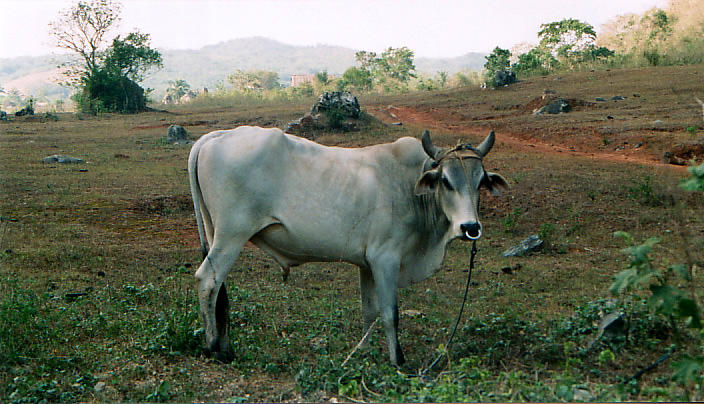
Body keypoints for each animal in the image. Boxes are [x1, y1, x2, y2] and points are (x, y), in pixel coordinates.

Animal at [187, 127, 506, 366]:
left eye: (480, 181)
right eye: (446, 181)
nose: (470, 227)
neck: (408, 184)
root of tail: (216, 136)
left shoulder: (367, 264)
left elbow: (369, 311)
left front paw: (361, 352)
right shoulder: (386, 259)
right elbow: (390, 313)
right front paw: (398, 360)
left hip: (217, 233)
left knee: (219, 290)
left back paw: (225, 344)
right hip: (231, 235)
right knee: (208, 281)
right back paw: (214, 347)